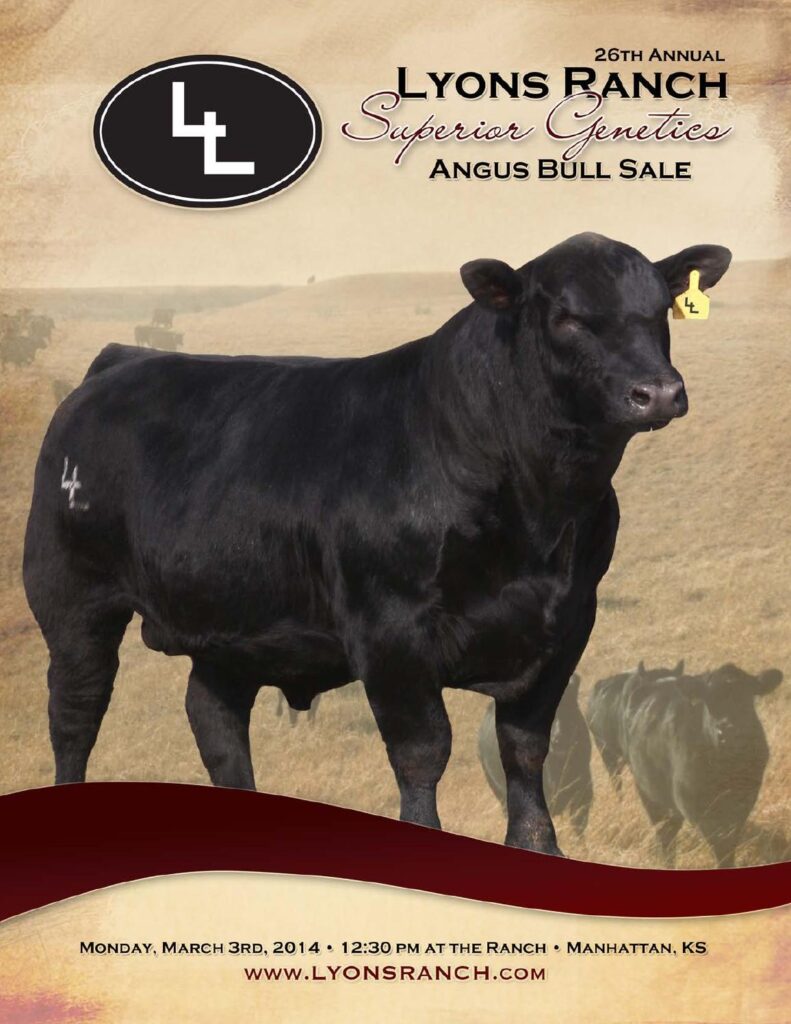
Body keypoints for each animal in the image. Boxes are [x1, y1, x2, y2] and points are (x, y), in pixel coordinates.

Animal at [587, 662, 783, 867]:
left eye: (747, 697)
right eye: (709, 699)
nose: (729, 730)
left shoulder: (744, 801)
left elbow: (729, 840)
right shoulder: (697, 806)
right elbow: (719, 842)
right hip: (633, 778)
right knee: (663, 832)